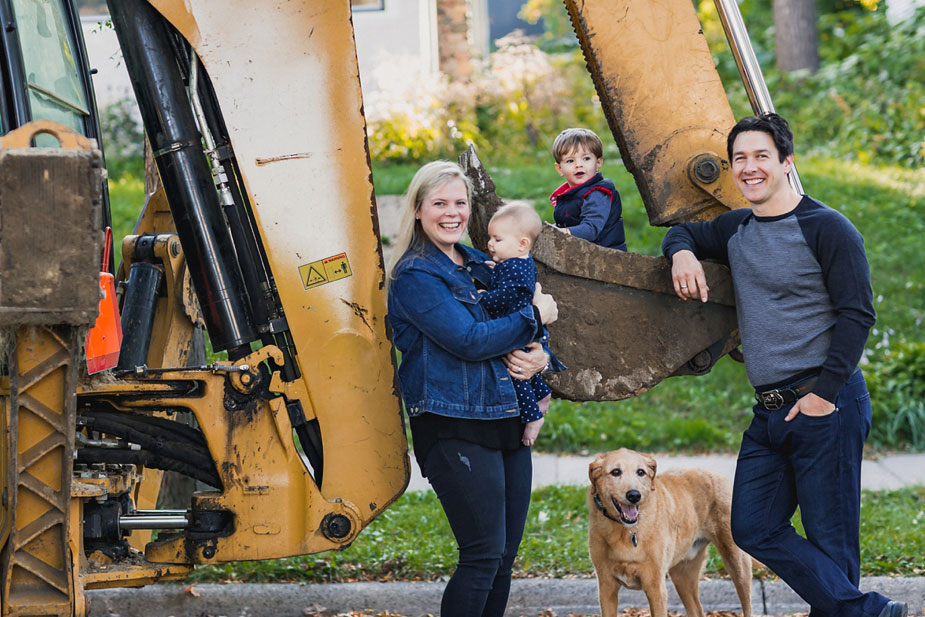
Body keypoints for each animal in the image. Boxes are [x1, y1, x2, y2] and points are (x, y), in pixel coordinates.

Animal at [588, 448, 756, 616]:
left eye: (640, 472)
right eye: (615, 472)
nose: (634, 495)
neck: (627, 531)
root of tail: (716, 474)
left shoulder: (656, 587)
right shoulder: (606, 587)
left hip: (737, 564)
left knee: (747, 605)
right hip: (682, 575)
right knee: (697, 610)